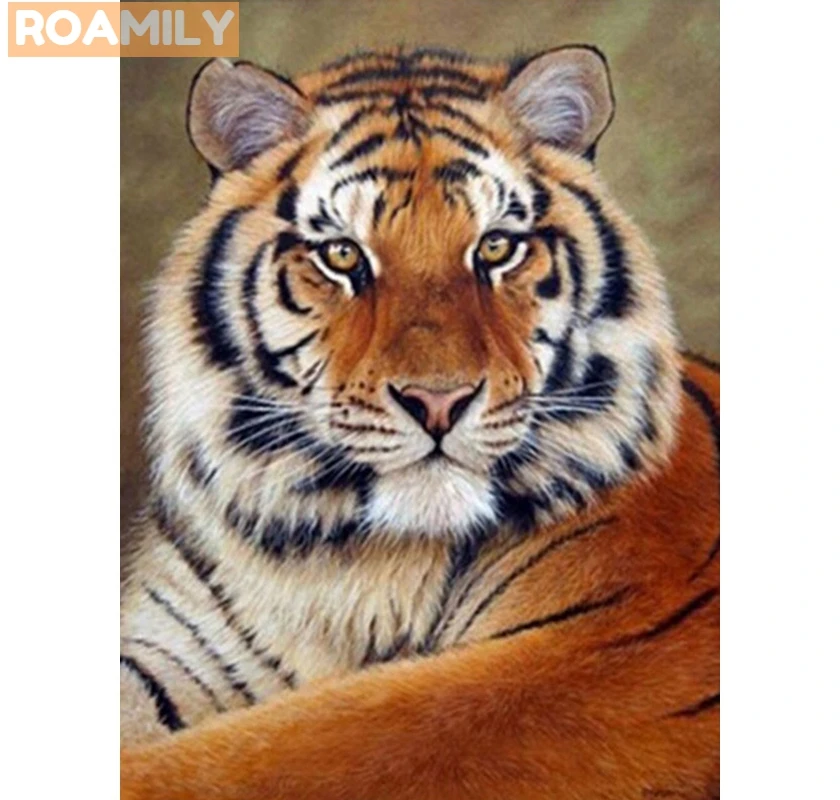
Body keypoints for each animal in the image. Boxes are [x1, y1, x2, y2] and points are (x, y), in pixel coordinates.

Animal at [120, 45, 719, 800]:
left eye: (495, 248)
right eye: (342, 255)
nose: (438, 401)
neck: (341, 561)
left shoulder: (589, 657)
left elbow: (284, 750)